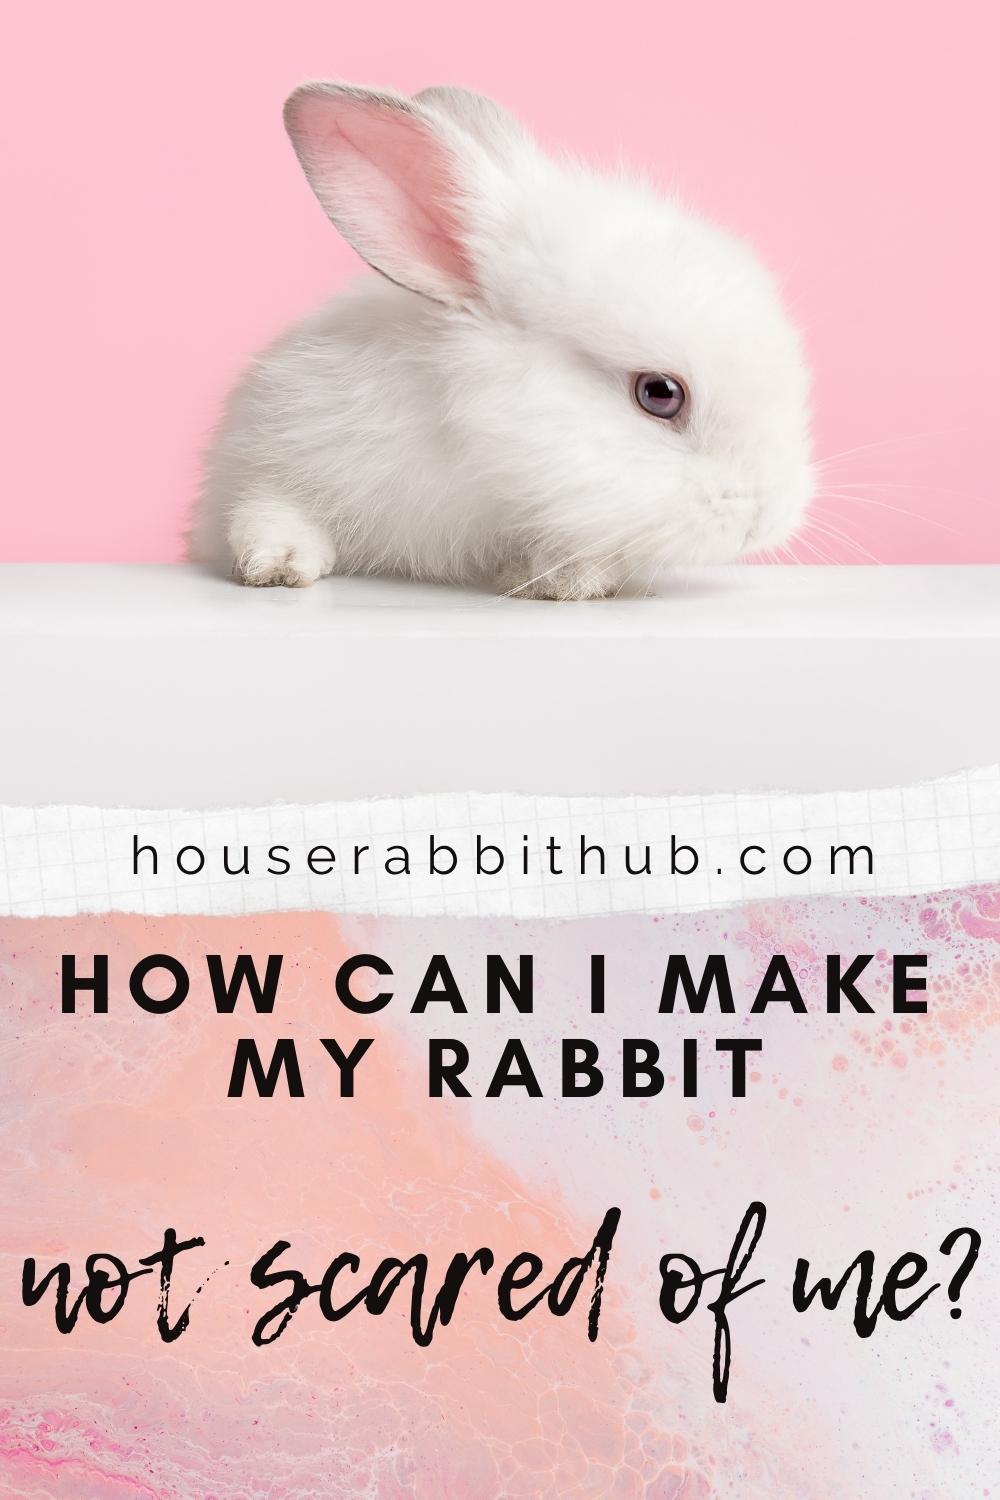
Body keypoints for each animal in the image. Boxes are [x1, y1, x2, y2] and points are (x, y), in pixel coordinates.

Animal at [189, 81, 813, 599]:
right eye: (659, 394)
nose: (767, 517)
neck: (484, 469)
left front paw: (565, 578)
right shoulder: (270, 451)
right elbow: (268, 508)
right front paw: (278, 565)